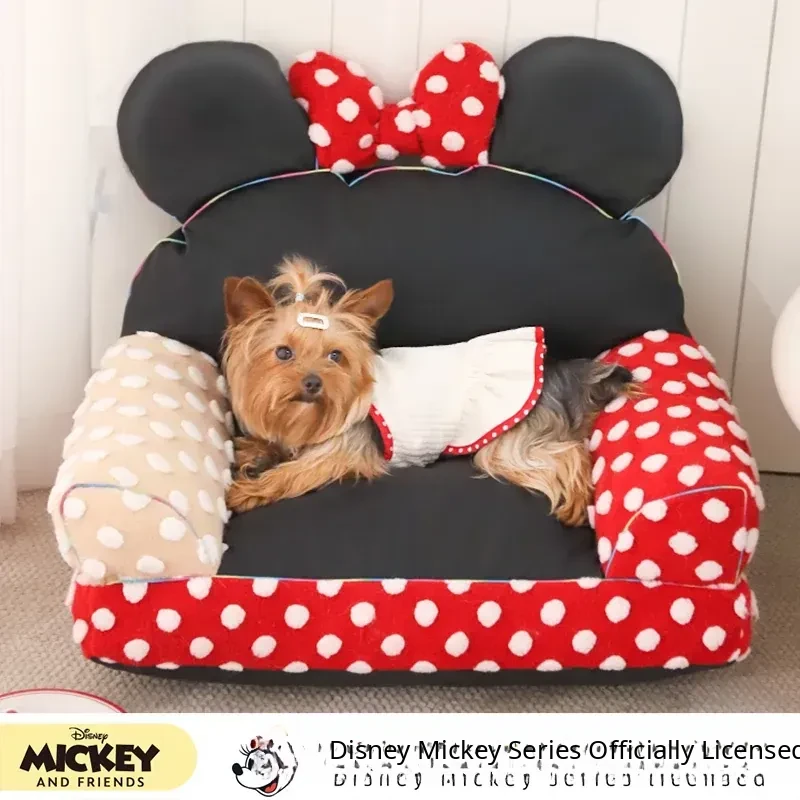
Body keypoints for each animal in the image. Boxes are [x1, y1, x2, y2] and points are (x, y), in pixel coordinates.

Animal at [222, 257, 636, 526]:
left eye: (335, 356)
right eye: (283, 353)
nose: (312, 383)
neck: (313, 416)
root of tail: (561, 370)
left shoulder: (344, 452)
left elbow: (296, 472)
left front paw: (248, 490)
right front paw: (253, 449)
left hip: (509, 444)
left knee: (570, 453)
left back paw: (577, 502)